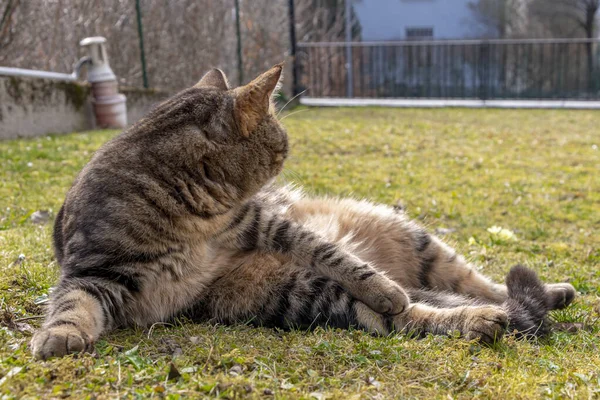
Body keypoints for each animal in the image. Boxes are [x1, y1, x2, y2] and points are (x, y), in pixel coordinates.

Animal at [30, 65, 576, 360]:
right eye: (280, 146)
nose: (286, 162)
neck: (199, 222)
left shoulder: (261, 222)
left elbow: (333, 253)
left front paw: (377, 280)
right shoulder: (94, 270)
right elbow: (71, 303)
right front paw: (61, 336)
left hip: (413, 238)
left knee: (480, 283)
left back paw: (551, 293)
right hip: (305, 295)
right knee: (414, 316)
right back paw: (475, 320)